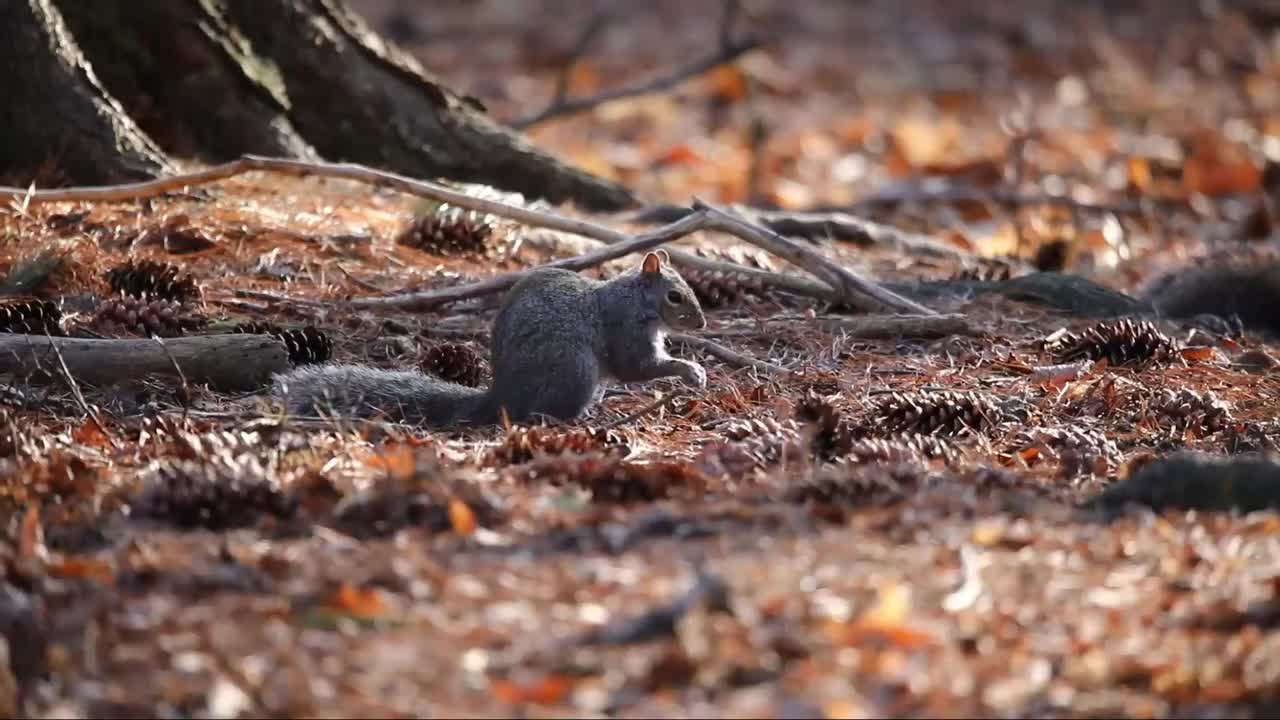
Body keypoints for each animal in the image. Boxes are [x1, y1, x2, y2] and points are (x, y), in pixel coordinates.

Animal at [273, 249, 706, 422]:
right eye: (675, 295)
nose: (701, 324)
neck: (638, 299)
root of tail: (502, 397)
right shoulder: (626, 328)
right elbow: (637, 368)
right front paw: (691, 371)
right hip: (575, 370)